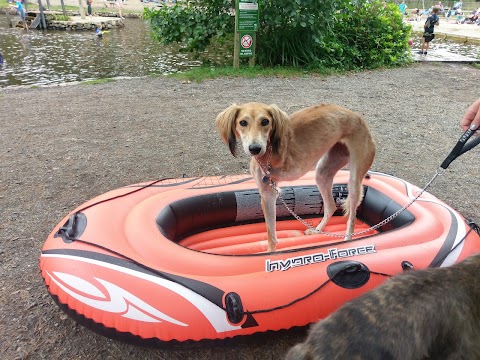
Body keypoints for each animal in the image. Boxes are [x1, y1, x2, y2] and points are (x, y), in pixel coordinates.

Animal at [216, 102, 376, 252]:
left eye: (265, 121)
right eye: (243, 122)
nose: (255, 149)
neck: (269, 152)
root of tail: (358, 117)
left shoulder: (270, 191)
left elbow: (272, 234)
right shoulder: (267, 193)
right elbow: (271, 234)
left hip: (354, 180)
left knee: (352, 218)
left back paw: (347, 241)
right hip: (323, 172)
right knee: (330, 205)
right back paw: (317, 230)